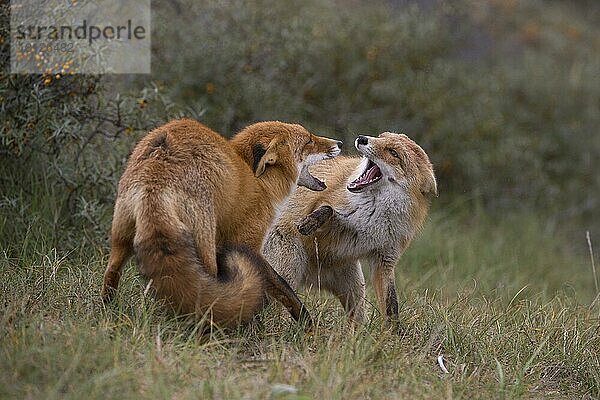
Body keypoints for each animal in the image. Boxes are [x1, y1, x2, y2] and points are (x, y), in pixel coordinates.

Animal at [101, 119, 340, 328]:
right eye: (309, 140)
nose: (339, 143)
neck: (259, 181)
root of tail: (157, 176)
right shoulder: (248, 244)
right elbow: (281, 285)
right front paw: (305, 324)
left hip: (120, 240)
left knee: (111, 275)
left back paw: (109, 313)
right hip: (205, 250)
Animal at [262, 131, 436, 324]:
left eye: (393, 152)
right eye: (380, 136)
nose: (362, 138)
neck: (375, 216)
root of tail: (312, 279)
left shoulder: (385, 261)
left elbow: (391, 306)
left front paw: (393, 332)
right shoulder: (322, 207)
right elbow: (327, 208)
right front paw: (310, 222)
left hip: (355, 288)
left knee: (357, 320)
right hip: (288, 271)